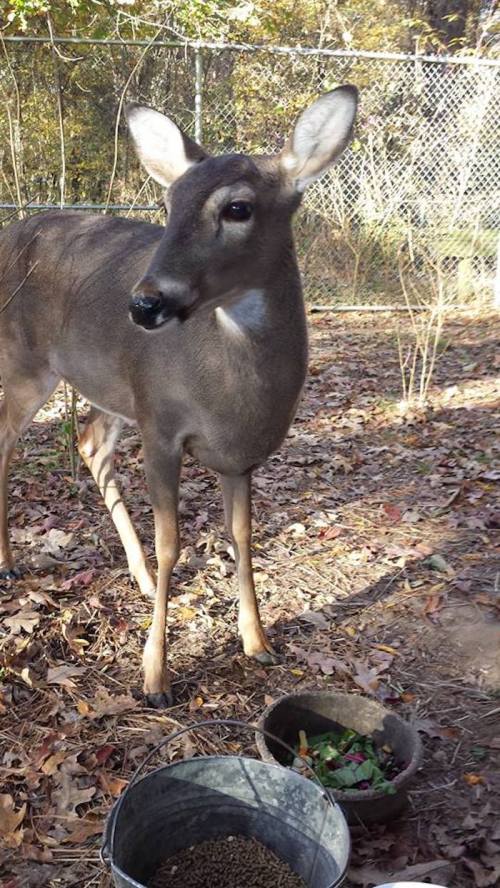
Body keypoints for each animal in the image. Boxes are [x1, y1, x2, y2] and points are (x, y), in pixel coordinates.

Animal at [0, 85, 358, 706]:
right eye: (169, 205)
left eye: (237, 208)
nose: (145, 303)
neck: (228, 394)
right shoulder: (163, 426)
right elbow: (173, 543)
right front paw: (155, 675)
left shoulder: (237, 455)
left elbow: (242, 537)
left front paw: (258, 642)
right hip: (26, 362)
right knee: (5, 439)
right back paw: (10, 563)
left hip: (113, 388)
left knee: (90, 442)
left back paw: (140, 578)